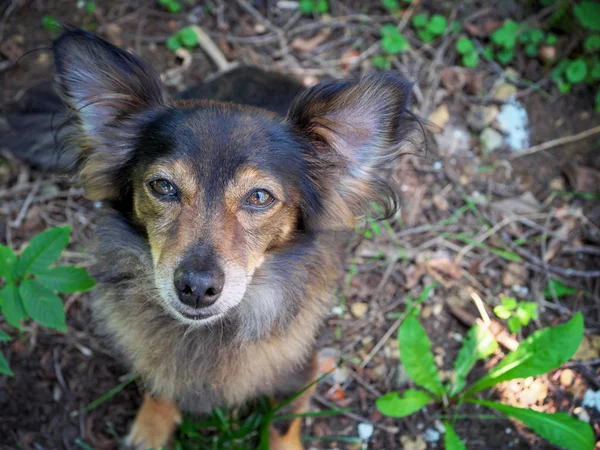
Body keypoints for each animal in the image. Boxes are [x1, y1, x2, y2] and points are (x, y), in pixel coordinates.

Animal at [3, 29, 418, 450]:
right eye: (162, 186)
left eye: (259, 197)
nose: (197, 288)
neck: (211, 333)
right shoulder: (155, 357)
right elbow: (160, 387)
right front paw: (151, 429)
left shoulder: (298, 372)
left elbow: (282, 425)